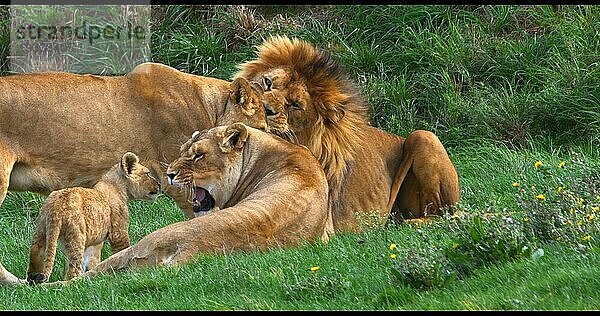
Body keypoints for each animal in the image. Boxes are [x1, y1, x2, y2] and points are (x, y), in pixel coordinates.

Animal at [27, 151, 159, 284]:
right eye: (147, 173)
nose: (159, 184)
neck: (116, 185)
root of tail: (57, 207)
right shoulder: (118, 232)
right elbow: (122, 251)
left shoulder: (95, 241)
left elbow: (92, 260)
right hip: (76, 237)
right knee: (72, 272)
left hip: (41, 232)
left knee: (35, 257)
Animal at [53, 122, 330, 280]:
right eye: (182, 150)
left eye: (198, 156)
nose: (169, 174)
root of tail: (192, 249)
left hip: (144, 243)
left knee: (84, 277)